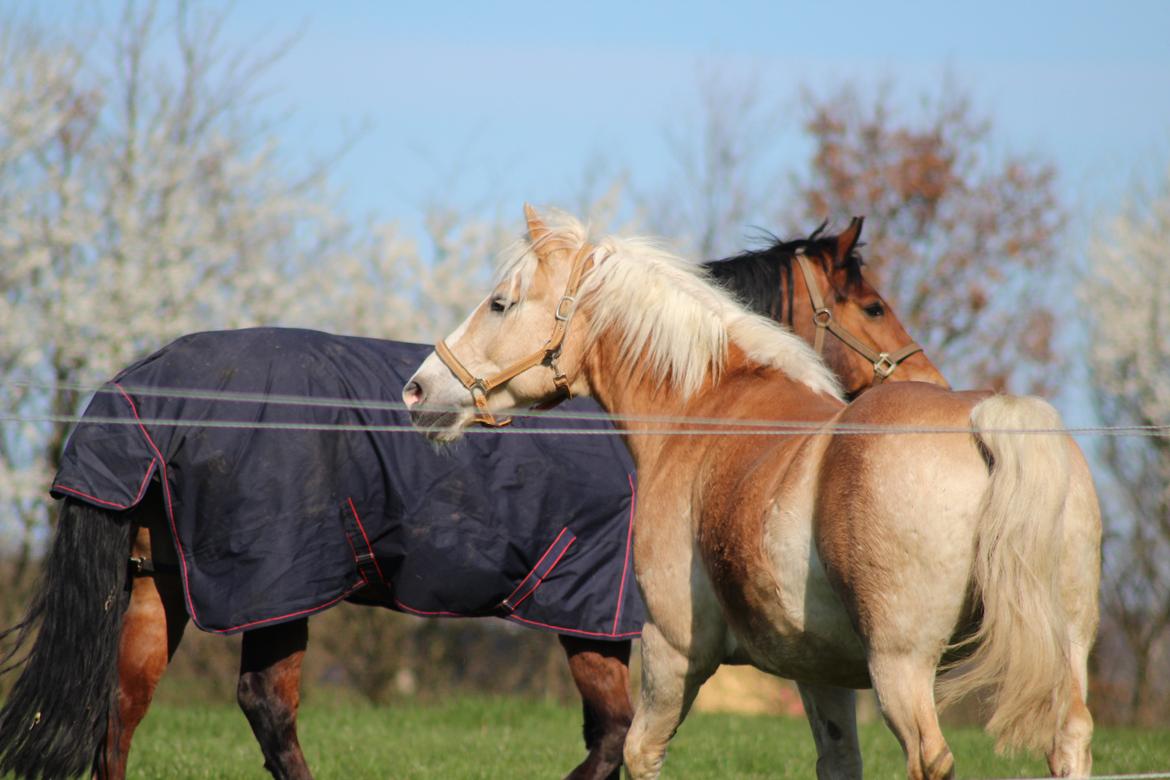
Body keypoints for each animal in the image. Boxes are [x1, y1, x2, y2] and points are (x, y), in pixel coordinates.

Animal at [407, 206, 1099, 780]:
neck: (704, 406)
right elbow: (838, 764)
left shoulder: (673, 648)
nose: (419, 389)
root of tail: (989, 419)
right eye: (874, 307)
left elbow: (639, 752)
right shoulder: (823, 676)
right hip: (1059, 660)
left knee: (929, 759)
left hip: (901, 669)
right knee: (1069, 741)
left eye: (500, 303)